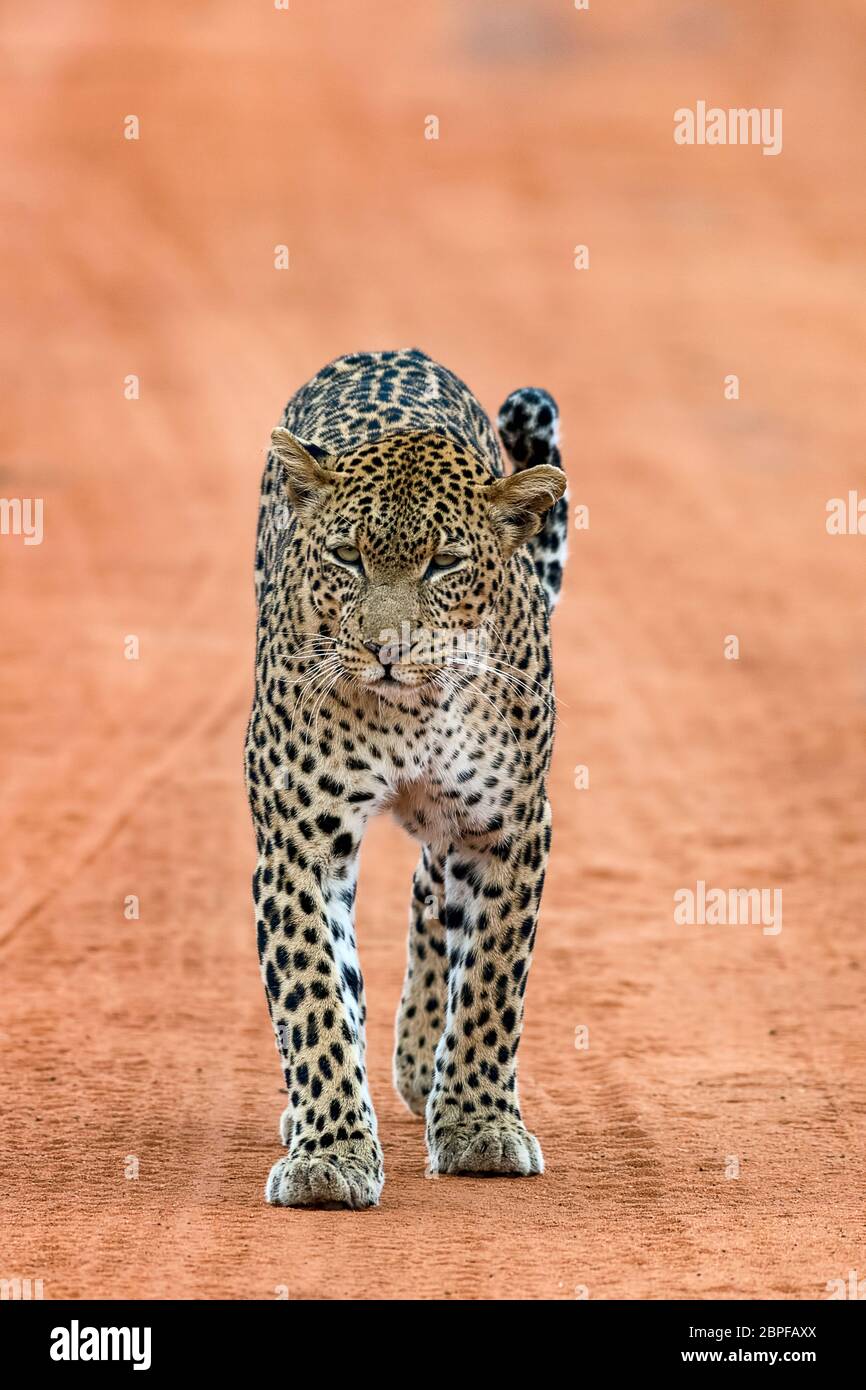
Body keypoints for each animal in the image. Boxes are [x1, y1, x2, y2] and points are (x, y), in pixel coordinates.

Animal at [244, 348, 568, 1209]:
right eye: (347, 557)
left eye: (445, 564)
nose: (386, 647)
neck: (413, 710)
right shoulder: (298, 841)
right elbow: (314, 994)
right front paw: (329, 1152)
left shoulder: (510, 828)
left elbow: (490, 980)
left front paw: (480, 1124)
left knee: (433, 893)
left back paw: (427, 1067)